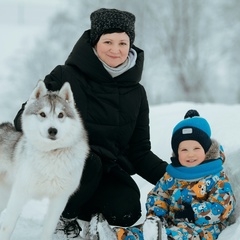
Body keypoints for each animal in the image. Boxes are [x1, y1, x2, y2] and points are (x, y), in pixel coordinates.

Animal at [0, 81, 89, 240]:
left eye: (61, 115)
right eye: (42, 114)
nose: (52, 130)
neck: (51, 154)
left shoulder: (59, 200)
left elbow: (48, 230)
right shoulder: (20, 193)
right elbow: (7, 227)